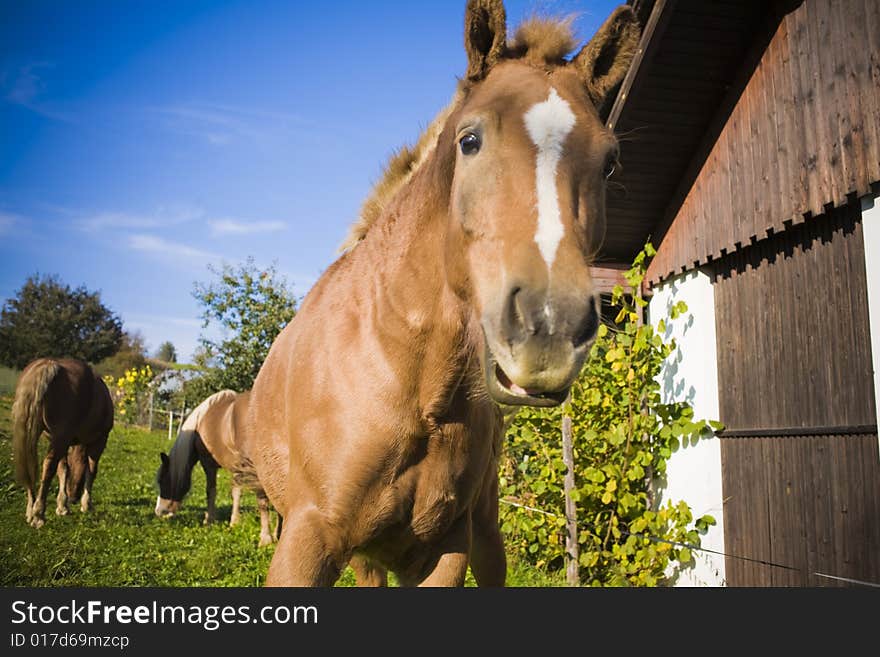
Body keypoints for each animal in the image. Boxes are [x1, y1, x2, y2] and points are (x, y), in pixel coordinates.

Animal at [12, 354, 113, 528]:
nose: (73, 498)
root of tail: (49, 365)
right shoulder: (99, 441)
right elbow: (91, 470)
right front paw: (86, 504)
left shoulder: (63, 441)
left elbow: (64, 469)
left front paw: (62, 506)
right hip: (61, 438)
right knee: (48, 467)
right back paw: (38, 514)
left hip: (35, 433)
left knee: (30, 465)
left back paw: (31, 509)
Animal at [155, 386, 276, 544]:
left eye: (162, 481)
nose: (159, 512)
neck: (200, 423)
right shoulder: (237, 467)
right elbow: (236, 492)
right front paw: (234, 522)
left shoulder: (209, 465)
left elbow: (211, 491)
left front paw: (209, 520)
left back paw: (266, 537)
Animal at [248, 0, 640, 584]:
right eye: (469, 140)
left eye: (609, 161)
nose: (549, 329)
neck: (411, 385)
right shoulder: (307, 538)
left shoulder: (444, 547)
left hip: (484, 527)